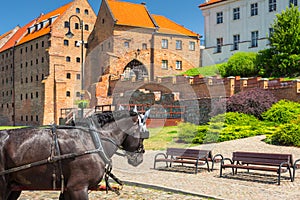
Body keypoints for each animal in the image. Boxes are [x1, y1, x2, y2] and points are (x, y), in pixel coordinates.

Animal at [0, 108, 150, 199]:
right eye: (143, 134)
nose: (140, 156)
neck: (92, 140)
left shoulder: (67, 190)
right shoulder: (78, 188)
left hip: (13, 187)